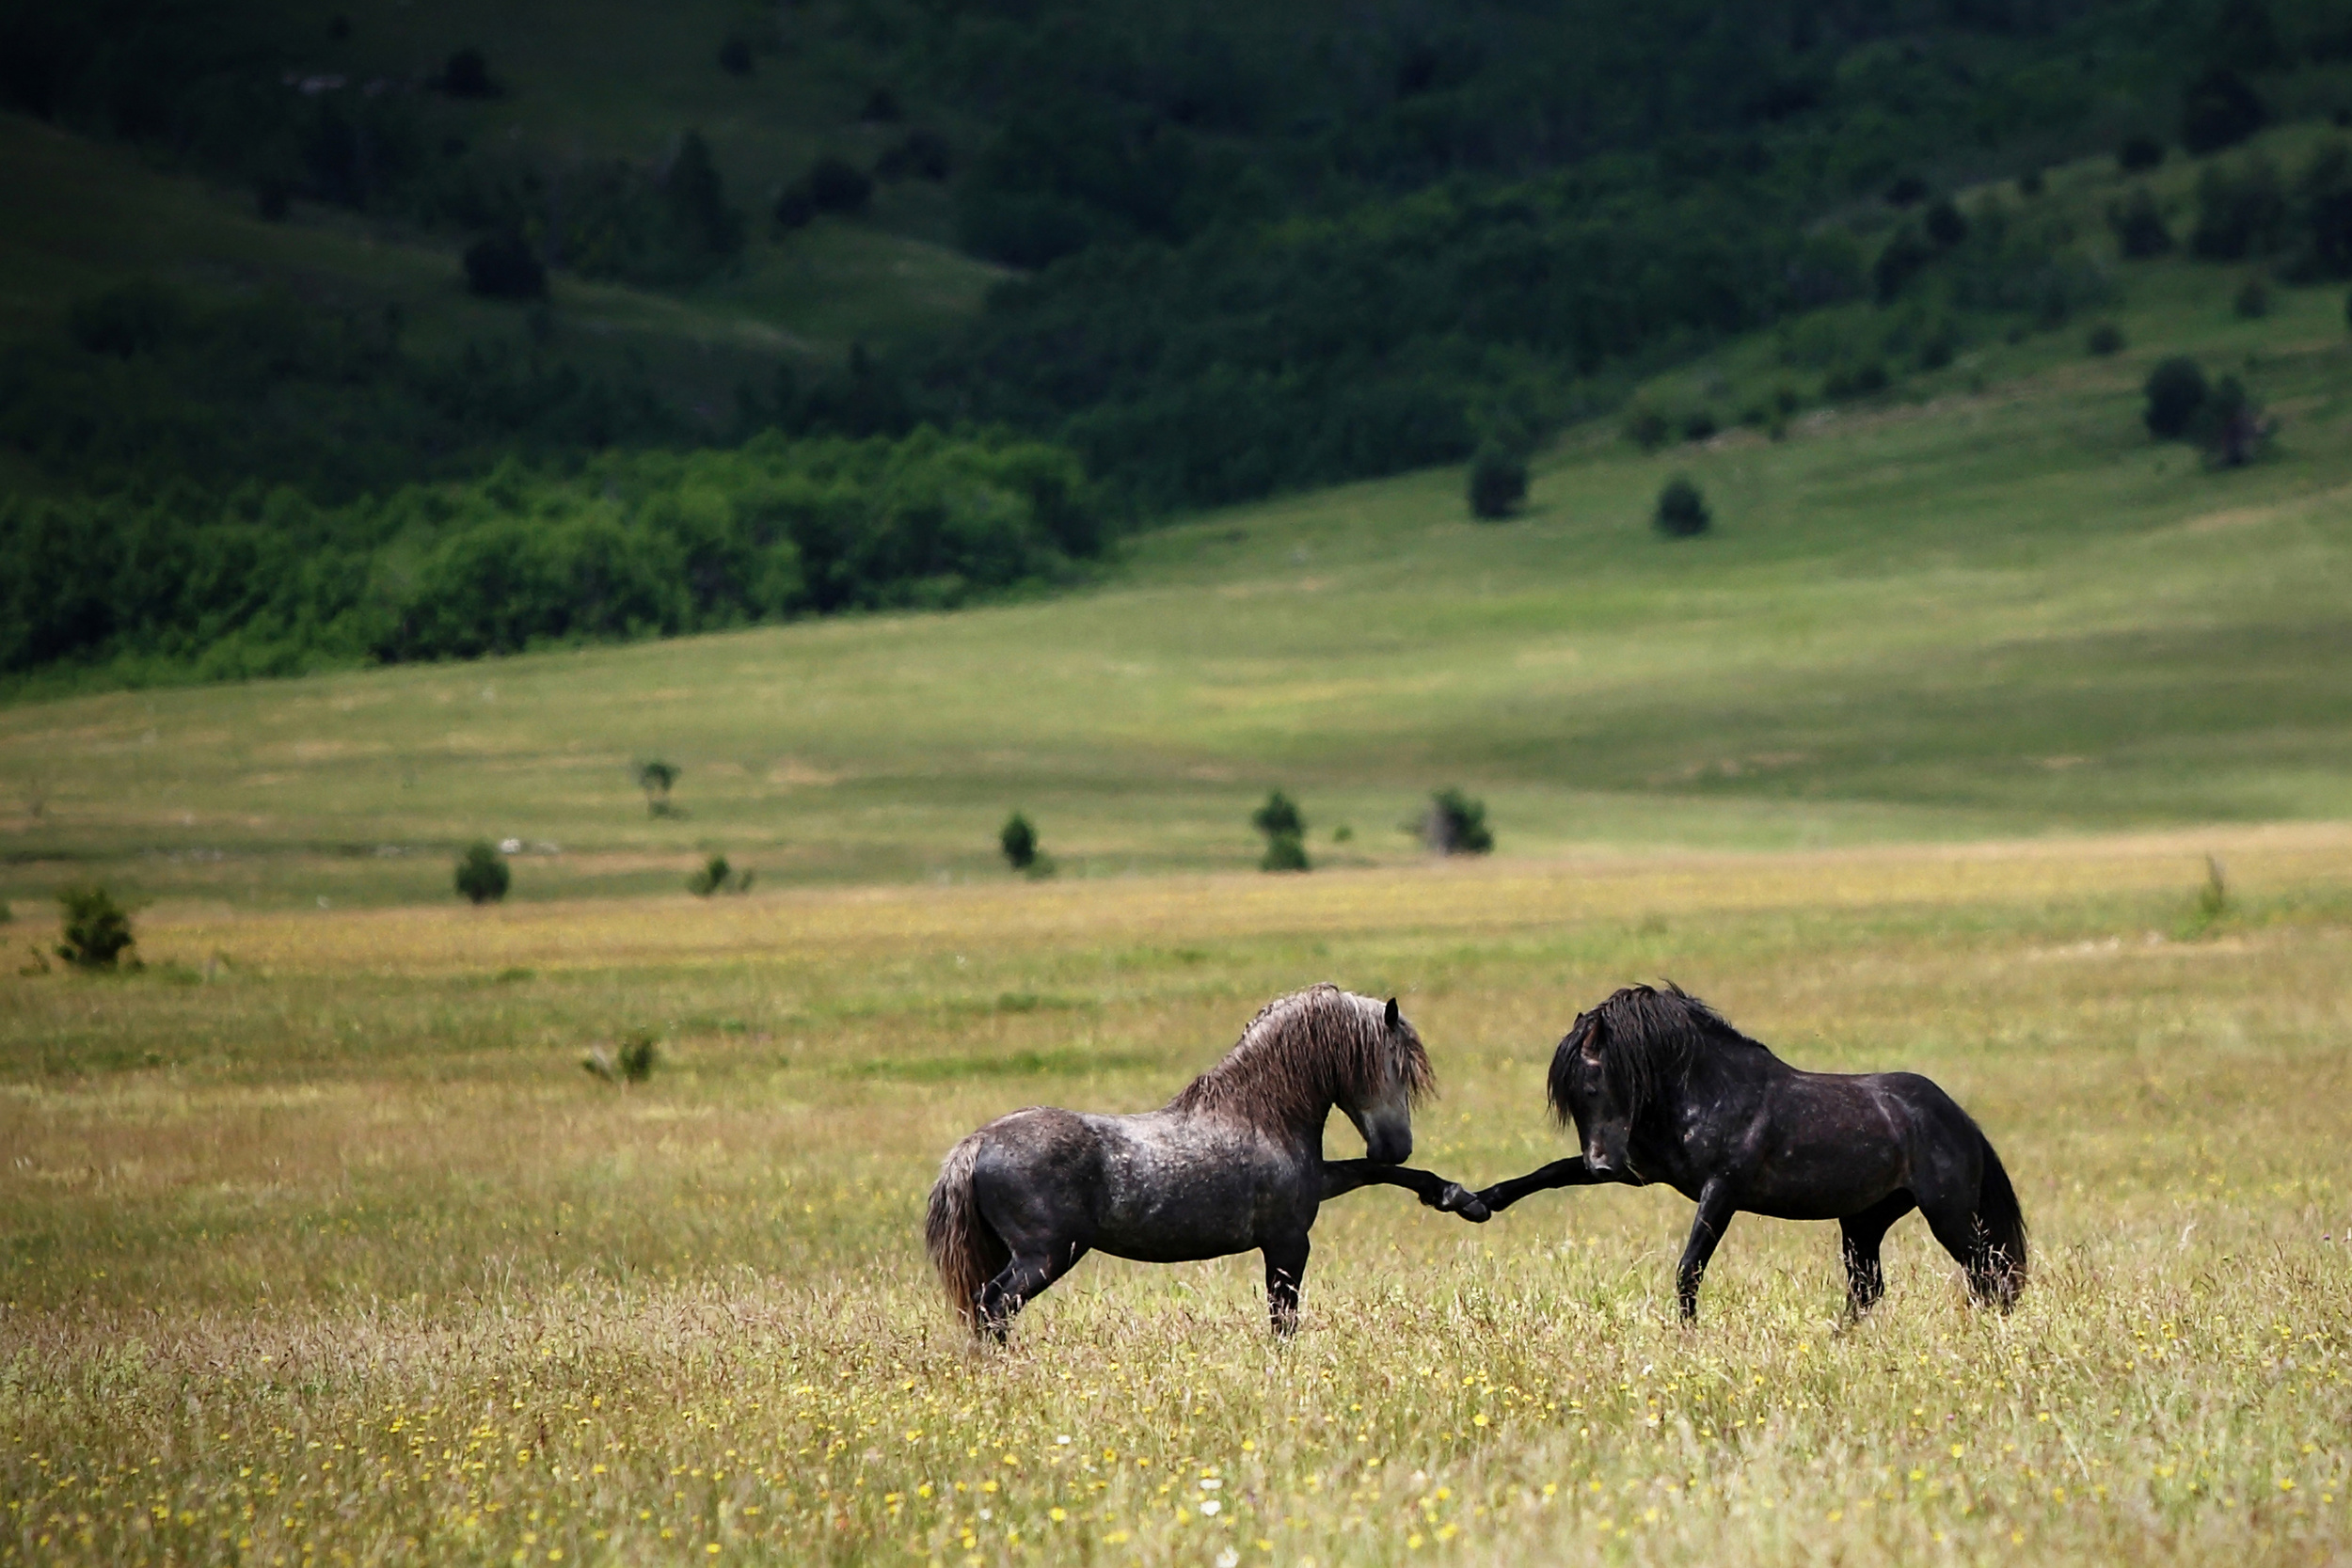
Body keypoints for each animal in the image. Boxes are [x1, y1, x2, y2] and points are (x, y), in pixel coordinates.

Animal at [922, 987, 1486, 1344]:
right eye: (1394, 1065)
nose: (1397, 1146)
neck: (1260, 1113)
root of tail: (977, 1144)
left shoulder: (1319, 1188)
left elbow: (1376, 1175)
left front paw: (1463, 1199)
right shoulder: (1287, 1241)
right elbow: (1284, 1320)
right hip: (1044, 1255)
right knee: (993, 1307)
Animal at [1486, 987, 2023, 1316]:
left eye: (1594, 1086)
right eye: (1571, 1099)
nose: (1601, 1164)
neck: (1713, 1091)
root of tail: (1961, 1121)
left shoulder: (1721, 1191)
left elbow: (1689, 1269)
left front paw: (1687, 1339)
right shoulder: (1646, 1169)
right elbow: (1548, 1173)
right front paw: (1471, 1202)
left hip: (1948, 1214)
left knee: (1990, 1273)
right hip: (1865, 1220)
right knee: (1869, 1289)